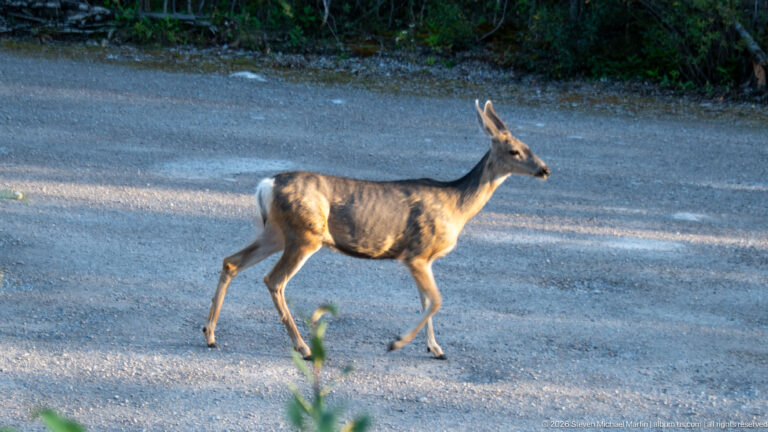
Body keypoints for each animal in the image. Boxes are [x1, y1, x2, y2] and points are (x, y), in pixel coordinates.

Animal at [203, 100, 550, 360]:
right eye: (514, 151)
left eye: (529, 145)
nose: (545, 169)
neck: (456, 205)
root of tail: (267, 185)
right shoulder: (416, 253)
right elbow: (436, 300)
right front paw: (396, 342)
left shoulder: (424, 260)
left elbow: (426, 301)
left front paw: (435, 348)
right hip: (305, 234)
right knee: (273, 280)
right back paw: (303, 347)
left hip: (276, 231)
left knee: (231, 261)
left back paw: (210, 335)